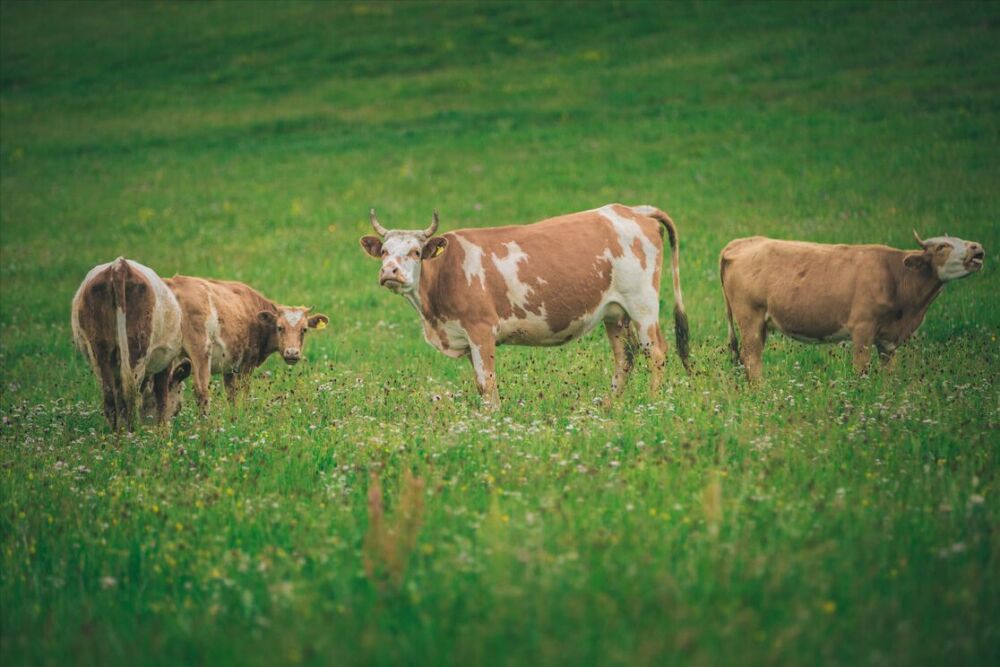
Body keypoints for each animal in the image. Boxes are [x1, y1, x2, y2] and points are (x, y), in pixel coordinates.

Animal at [71, 258, 190, 430]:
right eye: (177, 408)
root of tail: (119, 265)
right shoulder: (165, 361)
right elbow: (162, 396)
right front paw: (162, 430)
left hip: (99, 350)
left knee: (111, 396)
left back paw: (117, 431)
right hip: (137, 347)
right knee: (131, 392)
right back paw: (132, 430)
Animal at [162, 274, 330, 410]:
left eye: (304, 330)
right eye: (280, 328)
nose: (292, 353)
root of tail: (174, 283)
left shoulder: (229, 367)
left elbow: (231, 395)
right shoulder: (247, 364)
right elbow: (244, 392)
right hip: (200, 351)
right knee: (201, 390)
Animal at [358, 202, 688, 408]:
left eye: (415, 252)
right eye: (384, 251)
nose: (389, 271)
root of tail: (632, 210)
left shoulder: (481, 330)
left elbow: (487, 382)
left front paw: (493, 420)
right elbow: (480, 383)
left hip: (642, 304)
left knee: (656, 352)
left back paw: (653, 402)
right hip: (615, 313)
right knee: (625, 357)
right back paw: (610, 405)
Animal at [720, 231, 984, 380]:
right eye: (942, 247)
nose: (977, 247)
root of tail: (741, 243)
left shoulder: (888, 340)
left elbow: (890, 373)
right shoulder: (862, 328)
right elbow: (861, 369)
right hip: (750, 319)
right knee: (751, 359)